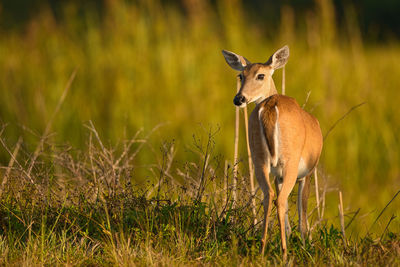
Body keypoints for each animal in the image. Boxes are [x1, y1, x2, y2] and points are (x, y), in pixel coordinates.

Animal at [220, 46, 324, 260]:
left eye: (260, 75)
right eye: (241, 75)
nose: (239, 98)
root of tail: (270, 106)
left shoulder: (278, 175)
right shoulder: (307, 173)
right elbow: (302, 212)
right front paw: (304, 244)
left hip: (258, 157)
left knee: (269, 196)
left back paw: (262, 248)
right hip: (291, 160)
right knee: (281, 200)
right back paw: (284, 252)